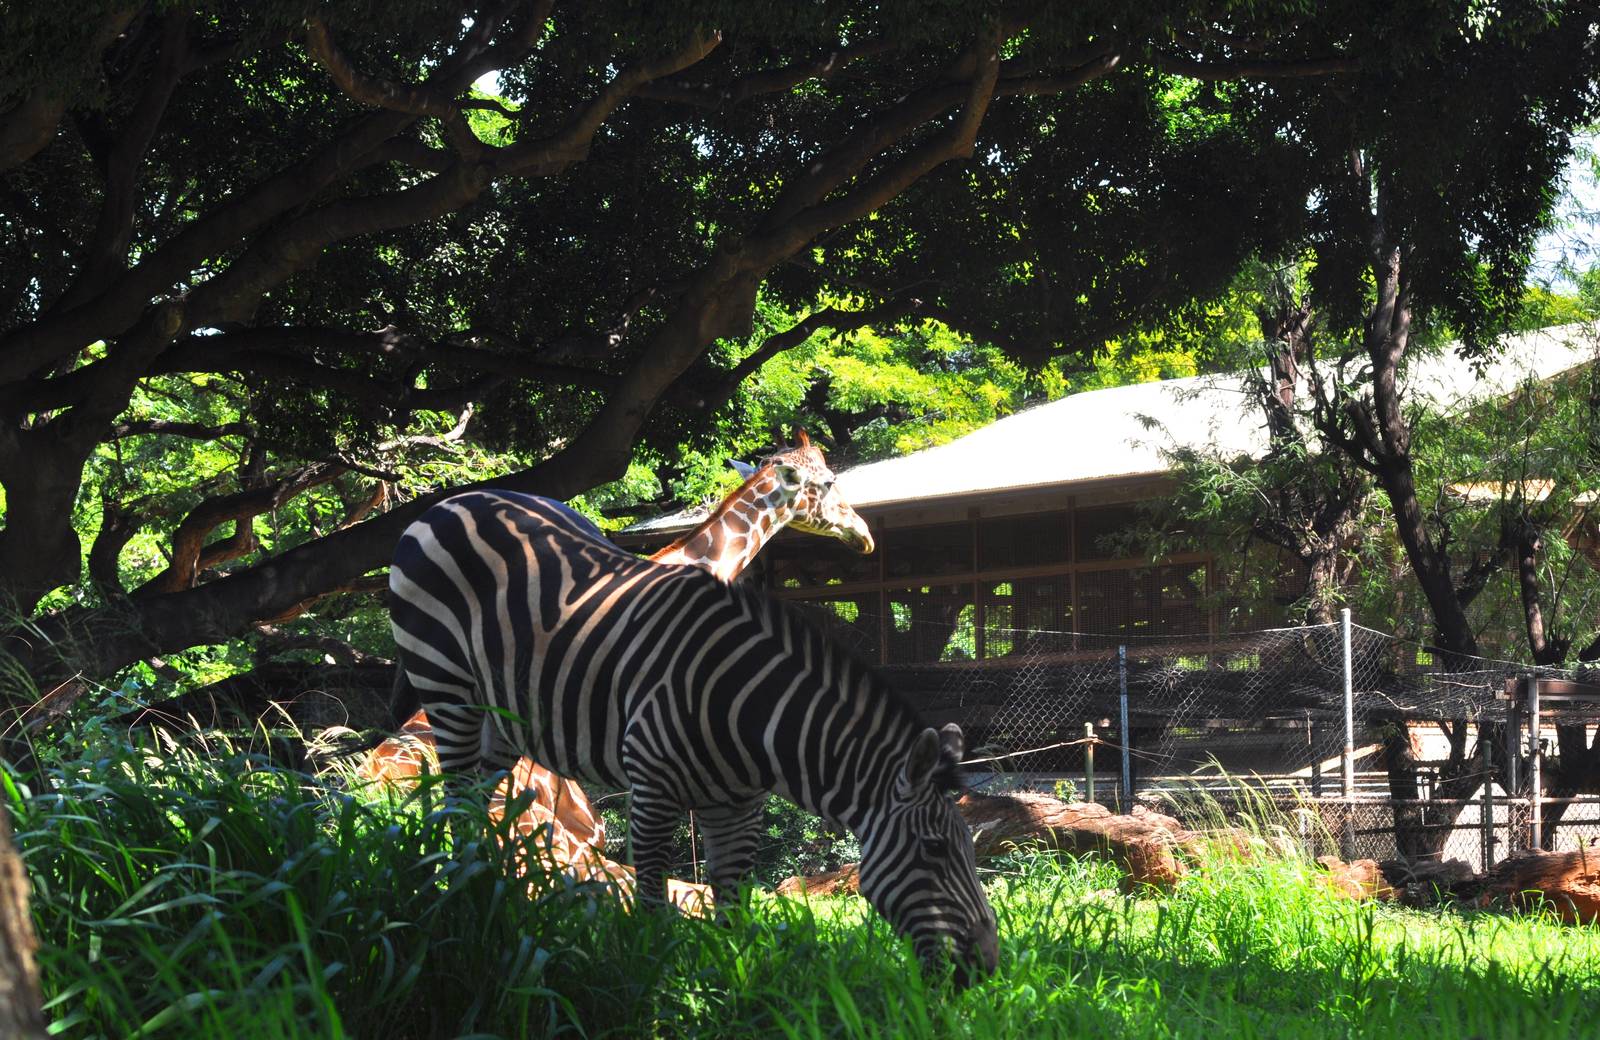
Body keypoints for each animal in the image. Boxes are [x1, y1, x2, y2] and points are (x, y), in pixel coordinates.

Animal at [388, 489, 998, 982]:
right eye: (935, 849)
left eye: (972, 848)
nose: (987, 968)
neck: (752, 714)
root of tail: (458, 499)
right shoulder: (653, 789)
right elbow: (652, 900)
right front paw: (651, 983)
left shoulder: (739, 807)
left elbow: (733, 911)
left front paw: (731, 989)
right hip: (446, 689)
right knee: (456, 803)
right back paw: (468, 905)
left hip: (504, 723)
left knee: (483, 809)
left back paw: (500, 903)